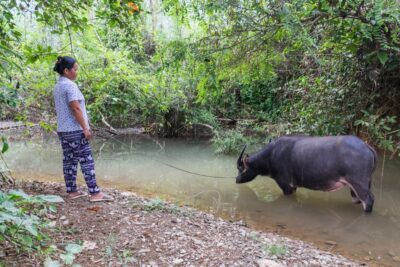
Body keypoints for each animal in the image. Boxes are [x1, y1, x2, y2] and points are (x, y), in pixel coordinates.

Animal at [238, 137, 378, 213]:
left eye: (240, 168)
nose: (237, 179)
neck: (271, 156)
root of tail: (367, 147)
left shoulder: (285, 185)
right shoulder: (293, 186)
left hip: (359, 183)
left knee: (368, 200)